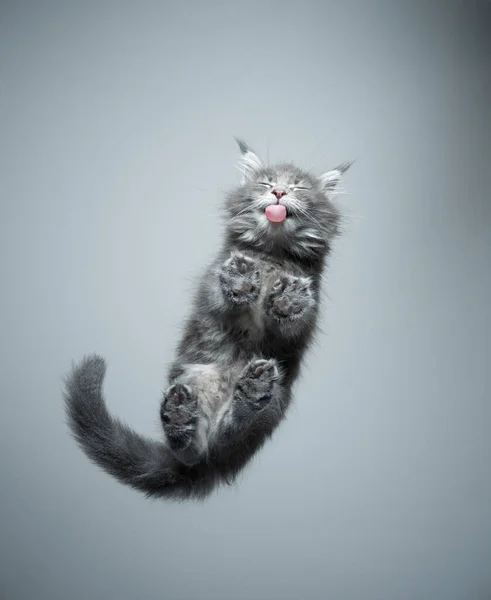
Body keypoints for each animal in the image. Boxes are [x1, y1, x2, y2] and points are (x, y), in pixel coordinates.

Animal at [63, 138, 352, 500]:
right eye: (266, 183)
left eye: (298, 187)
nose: (279, 194)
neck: (272, 253)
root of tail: (210, 467)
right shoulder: (211, 283)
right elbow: (223, 295)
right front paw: (242, 279)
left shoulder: (308, 310)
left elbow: (291, 319)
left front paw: (286, 298)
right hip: (192, 379)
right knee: (193, 448)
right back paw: (179, 418)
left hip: (274, 402)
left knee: (232, 431)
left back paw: (251, 391)